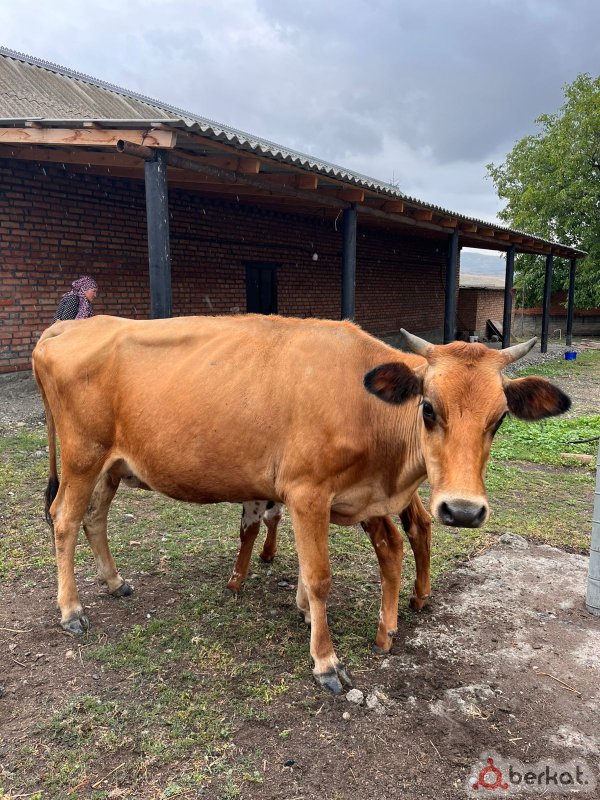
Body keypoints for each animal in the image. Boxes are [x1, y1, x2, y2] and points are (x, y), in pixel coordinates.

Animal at [32, 314, 570, 693]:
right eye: (428, 408)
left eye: (500, 418)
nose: (462, 510)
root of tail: (69, 325)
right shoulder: (308, 491)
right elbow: (319, 576)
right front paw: (326, 661)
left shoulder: (328, 498)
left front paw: (307, 615)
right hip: (82, 458)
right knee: (64, 520)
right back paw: (71, 610)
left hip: (112, 467)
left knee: (94, 519)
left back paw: (113, 580)